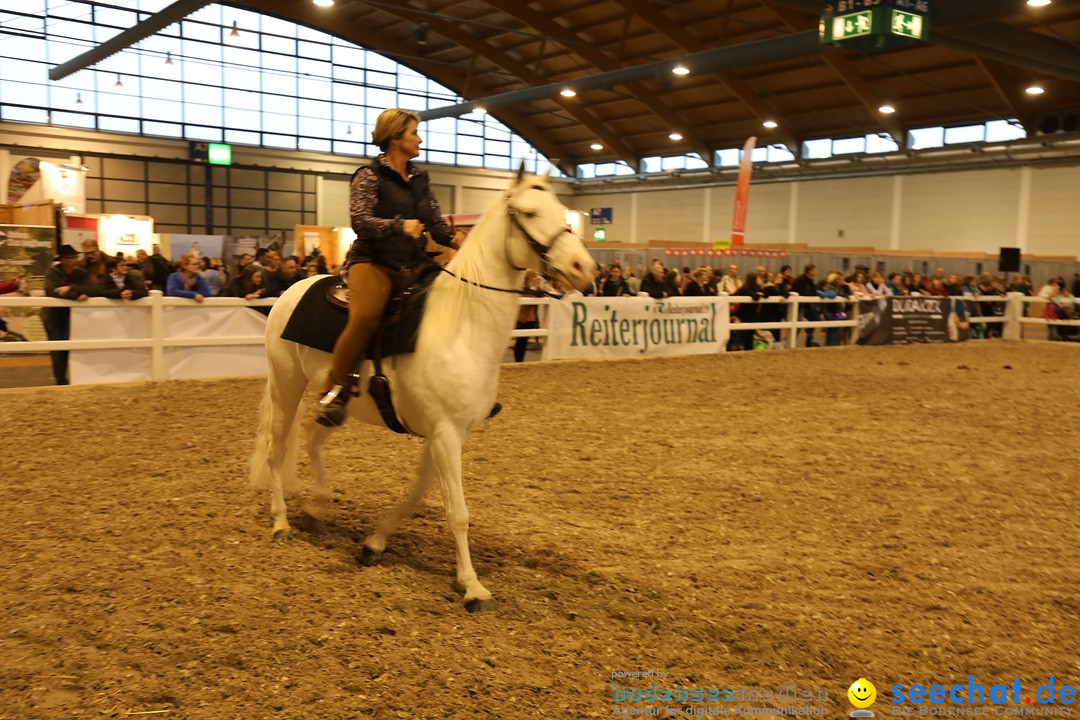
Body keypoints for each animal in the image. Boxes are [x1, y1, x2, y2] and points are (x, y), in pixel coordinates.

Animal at [249, 169, 596, 613]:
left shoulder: (446, 433)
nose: (583, 268)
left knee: (313, 437)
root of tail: (289, 292)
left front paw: (374, 543)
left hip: (335, 402)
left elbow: (418, 494)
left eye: (563, 211)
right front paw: (473, 587)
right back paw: (281, 523)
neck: (461, 323)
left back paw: (319, 507)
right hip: (286, 384)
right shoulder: (446, 433)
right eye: (531, 212)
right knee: (276, 450)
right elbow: (458, 511)